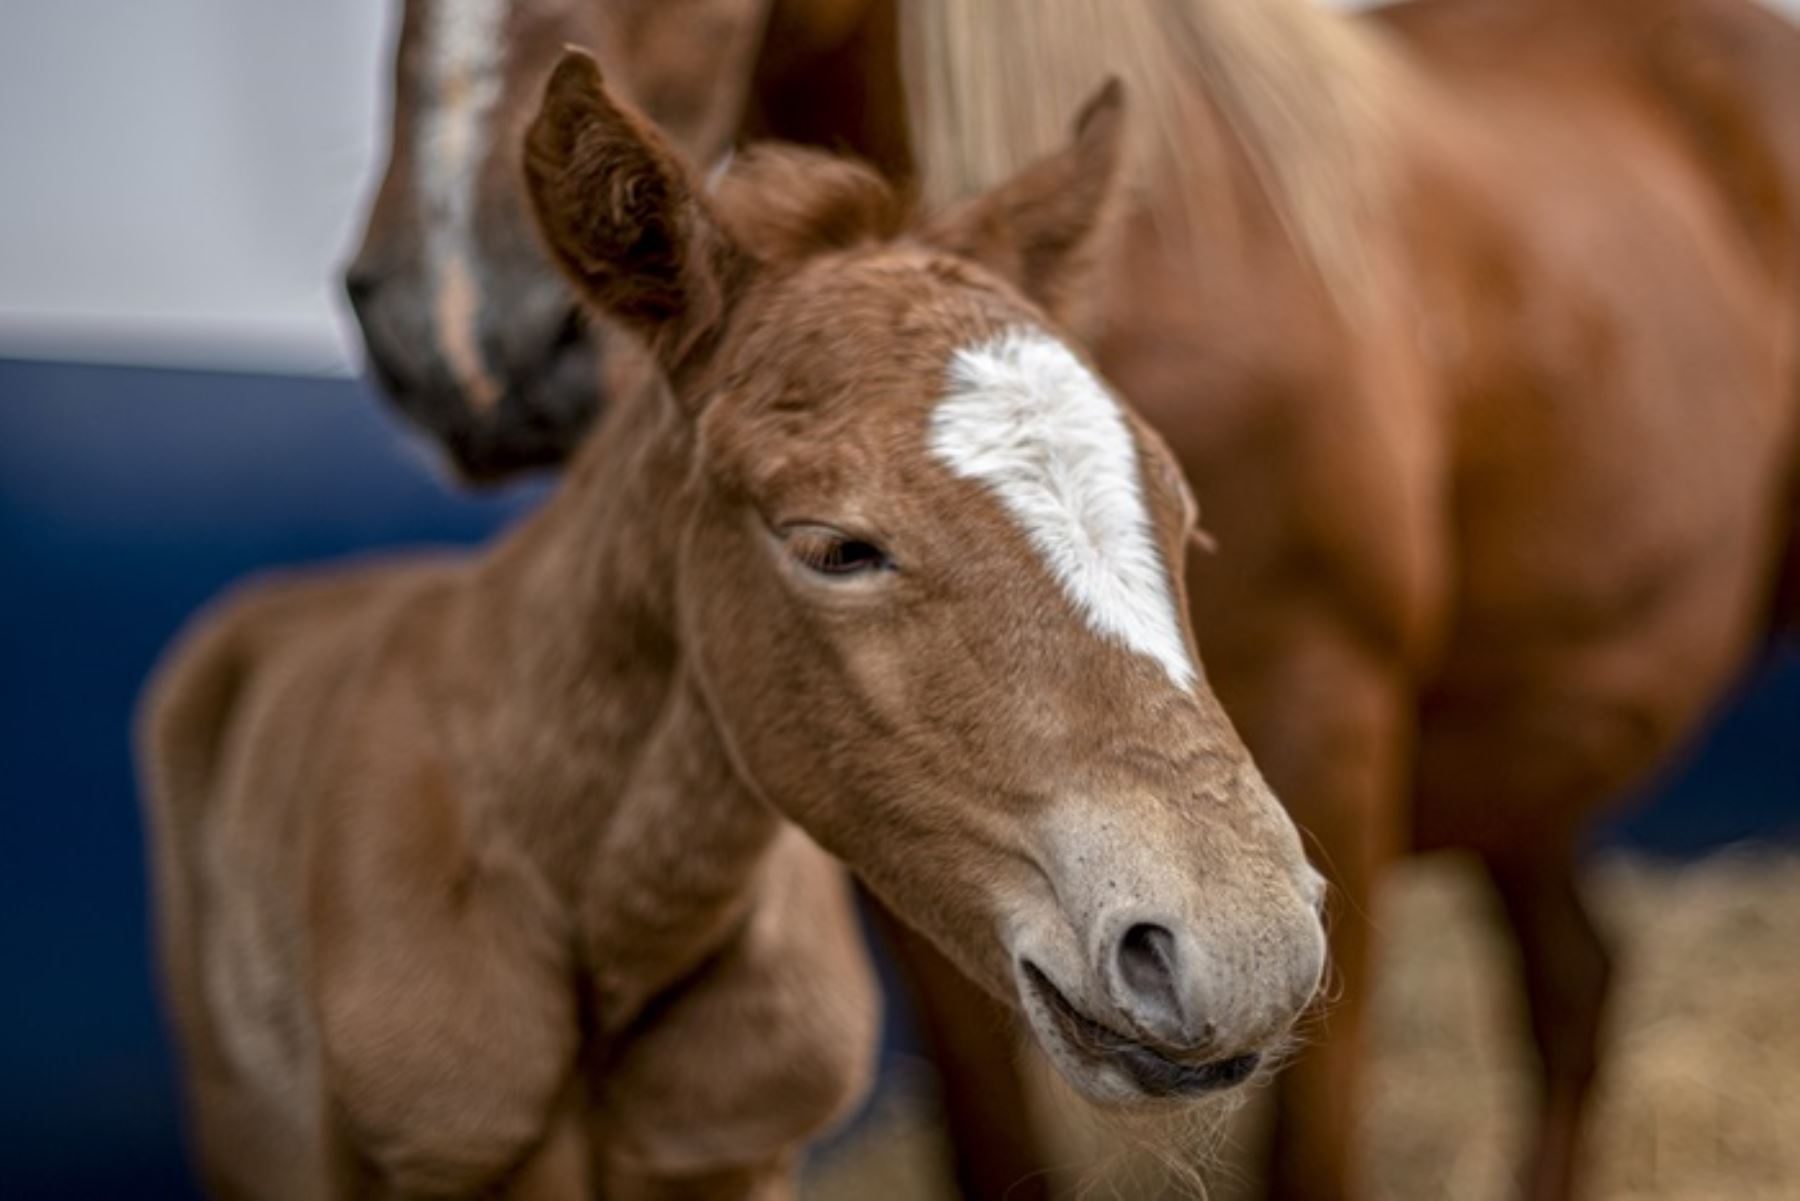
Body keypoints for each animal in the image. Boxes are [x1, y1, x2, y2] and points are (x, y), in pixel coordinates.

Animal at [347, 2, 1800, 1201]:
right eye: (833, 548)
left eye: (1181, 512)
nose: (461, 335)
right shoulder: (903, 856)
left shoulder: (1335, 756)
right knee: (1578, 987)